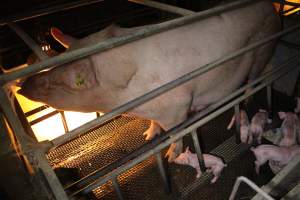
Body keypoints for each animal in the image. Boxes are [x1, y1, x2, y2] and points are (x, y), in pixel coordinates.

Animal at [17, 0, 280, 162]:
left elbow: (175, 132)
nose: (22, 86)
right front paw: (148, 136)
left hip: (263, 48)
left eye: (56, 82)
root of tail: (270, 6)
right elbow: (154, 124)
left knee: (254, 77)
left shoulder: (178, 105)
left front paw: (170, 157)